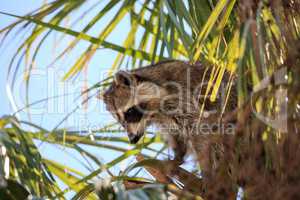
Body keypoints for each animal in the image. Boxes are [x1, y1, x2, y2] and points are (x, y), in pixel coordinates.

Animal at [101, 59, 237, 170]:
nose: (132, 139)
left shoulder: (181, 95)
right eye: (121, 122)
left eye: (129, 112)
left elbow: (199, 129)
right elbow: (175, 134)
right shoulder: (163, 118)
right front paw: (178, 156)